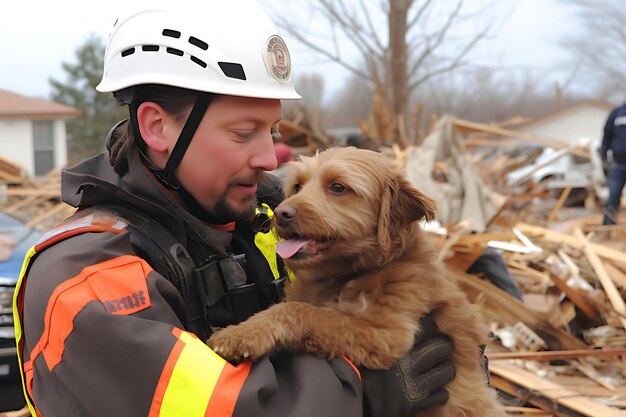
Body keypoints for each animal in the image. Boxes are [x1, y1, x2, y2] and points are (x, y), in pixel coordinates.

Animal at [208, 146, 508, 416]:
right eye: (298, 186)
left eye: (338, 187)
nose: (281, 214)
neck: (348, 274)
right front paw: (243, 332)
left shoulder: (387, 332)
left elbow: (298, 311)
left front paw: (240, 335)